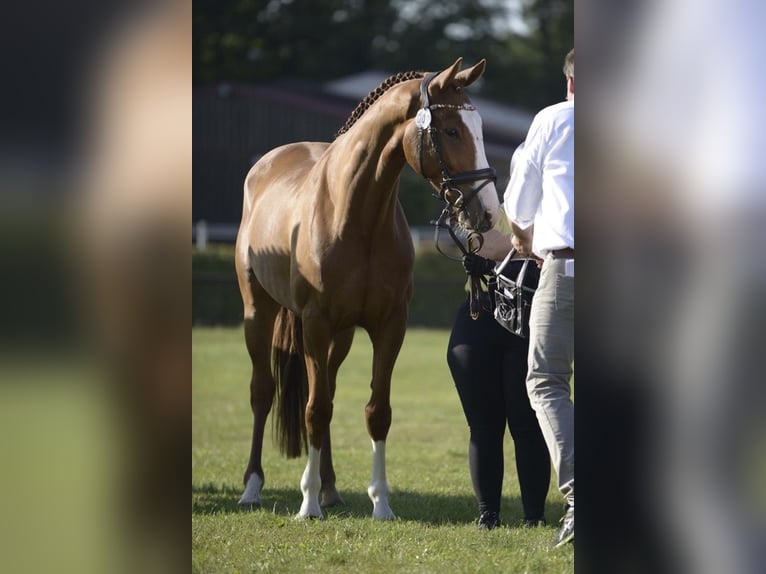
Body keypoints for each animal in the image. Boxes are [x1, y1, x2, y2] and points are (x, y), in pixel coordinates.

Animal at [236, 58, 498, 520]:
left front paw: (380, 503)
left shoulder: (389, 325)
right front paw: (307, 505)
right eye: (451, 130)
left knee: (328, 392)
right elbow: (315, 410)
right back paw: (254, 488)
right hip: (259, 314)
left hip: (339, 338)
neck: (356, 216)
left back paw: (330, 489)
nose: (487, 212)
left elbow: (376, 411)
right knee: (263, 392)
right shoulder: (315, 323)